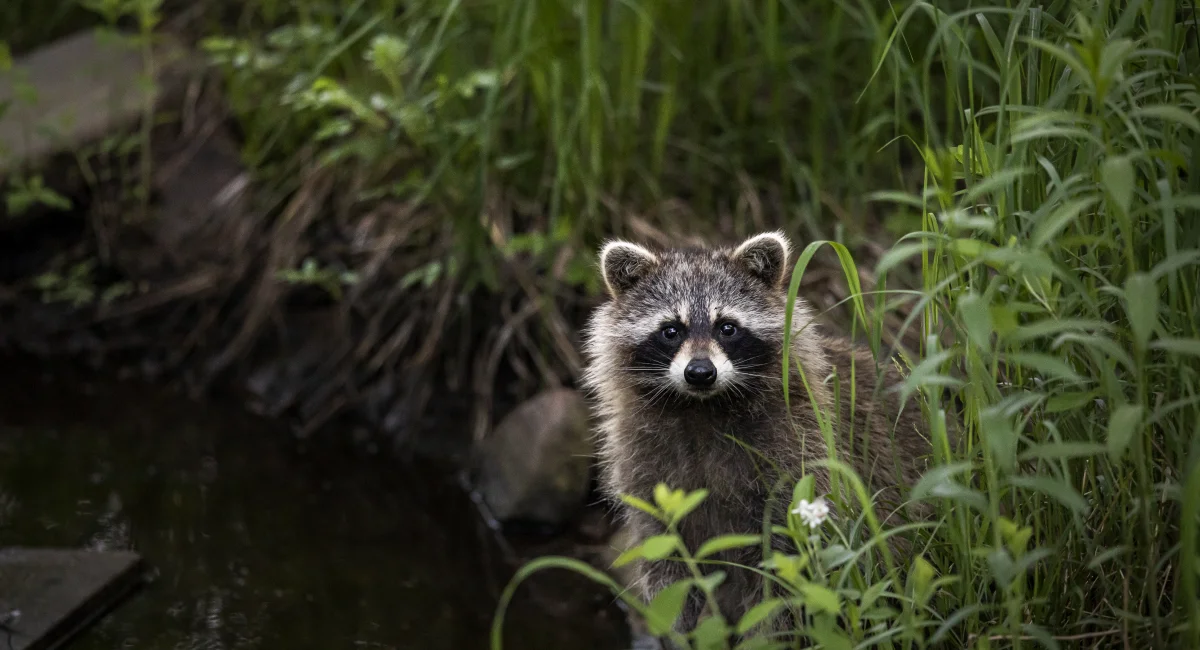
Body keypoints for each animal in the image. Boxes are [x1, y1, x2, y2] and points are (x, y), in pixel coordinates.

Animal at [580, 231, 934, 634]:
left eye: (727, 327)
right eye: (671, 330)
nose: (700, 373)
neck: (702, 408)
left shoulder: (797, 451)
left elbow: (779, 570)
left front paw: (765, 634)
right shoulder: (645, 465)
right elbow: (669, 564)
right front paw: (679, 632)